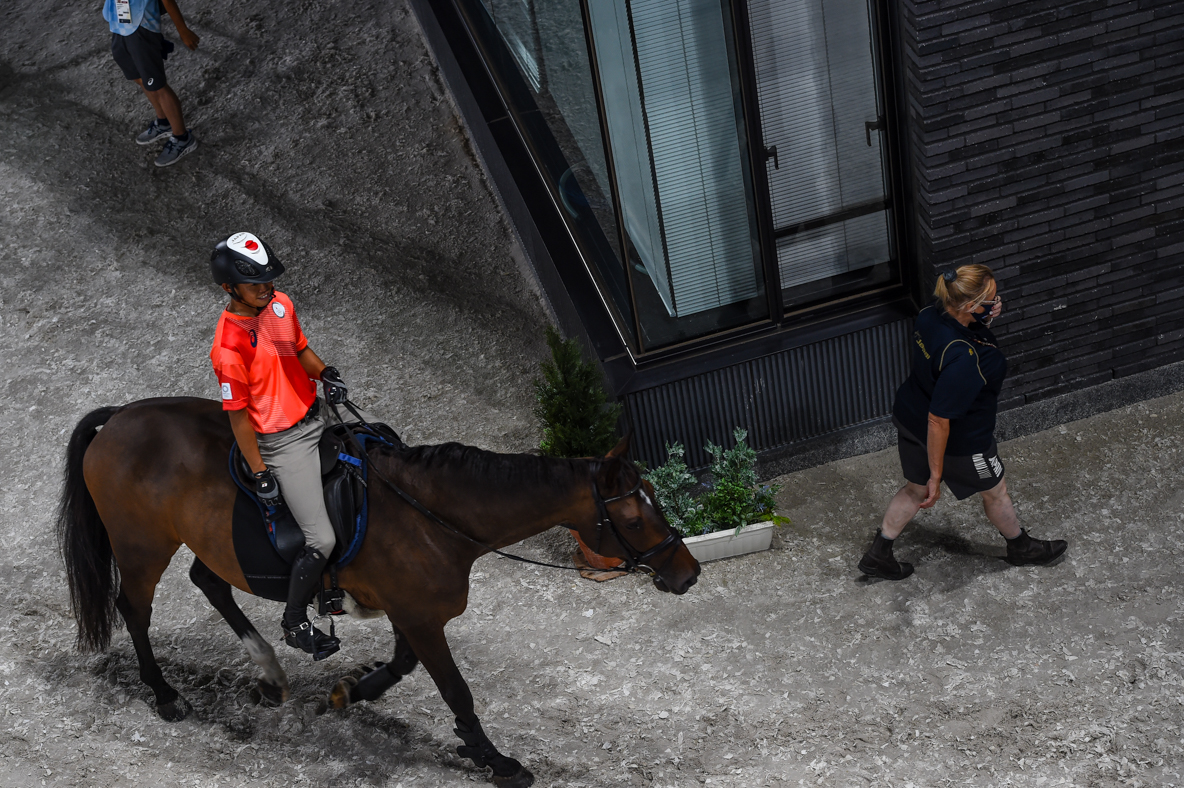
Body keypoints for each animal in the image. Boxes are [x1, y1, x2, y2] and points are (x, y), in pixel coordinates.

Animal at [56, 397, 700, 787]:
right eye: (634, 517)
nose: (688, 573)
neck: (430, 516)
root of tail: (120, 418)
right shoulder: (419, 616)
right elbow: (456, 691)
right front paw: (495, 760)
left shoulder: (410, 614)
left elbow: (401, 665)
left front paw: (351, 691)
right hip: (142, 546)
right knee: (134, 610)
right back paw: (166, 695)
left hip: (214, 545)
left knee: (209, 582)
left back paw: (269, 672)